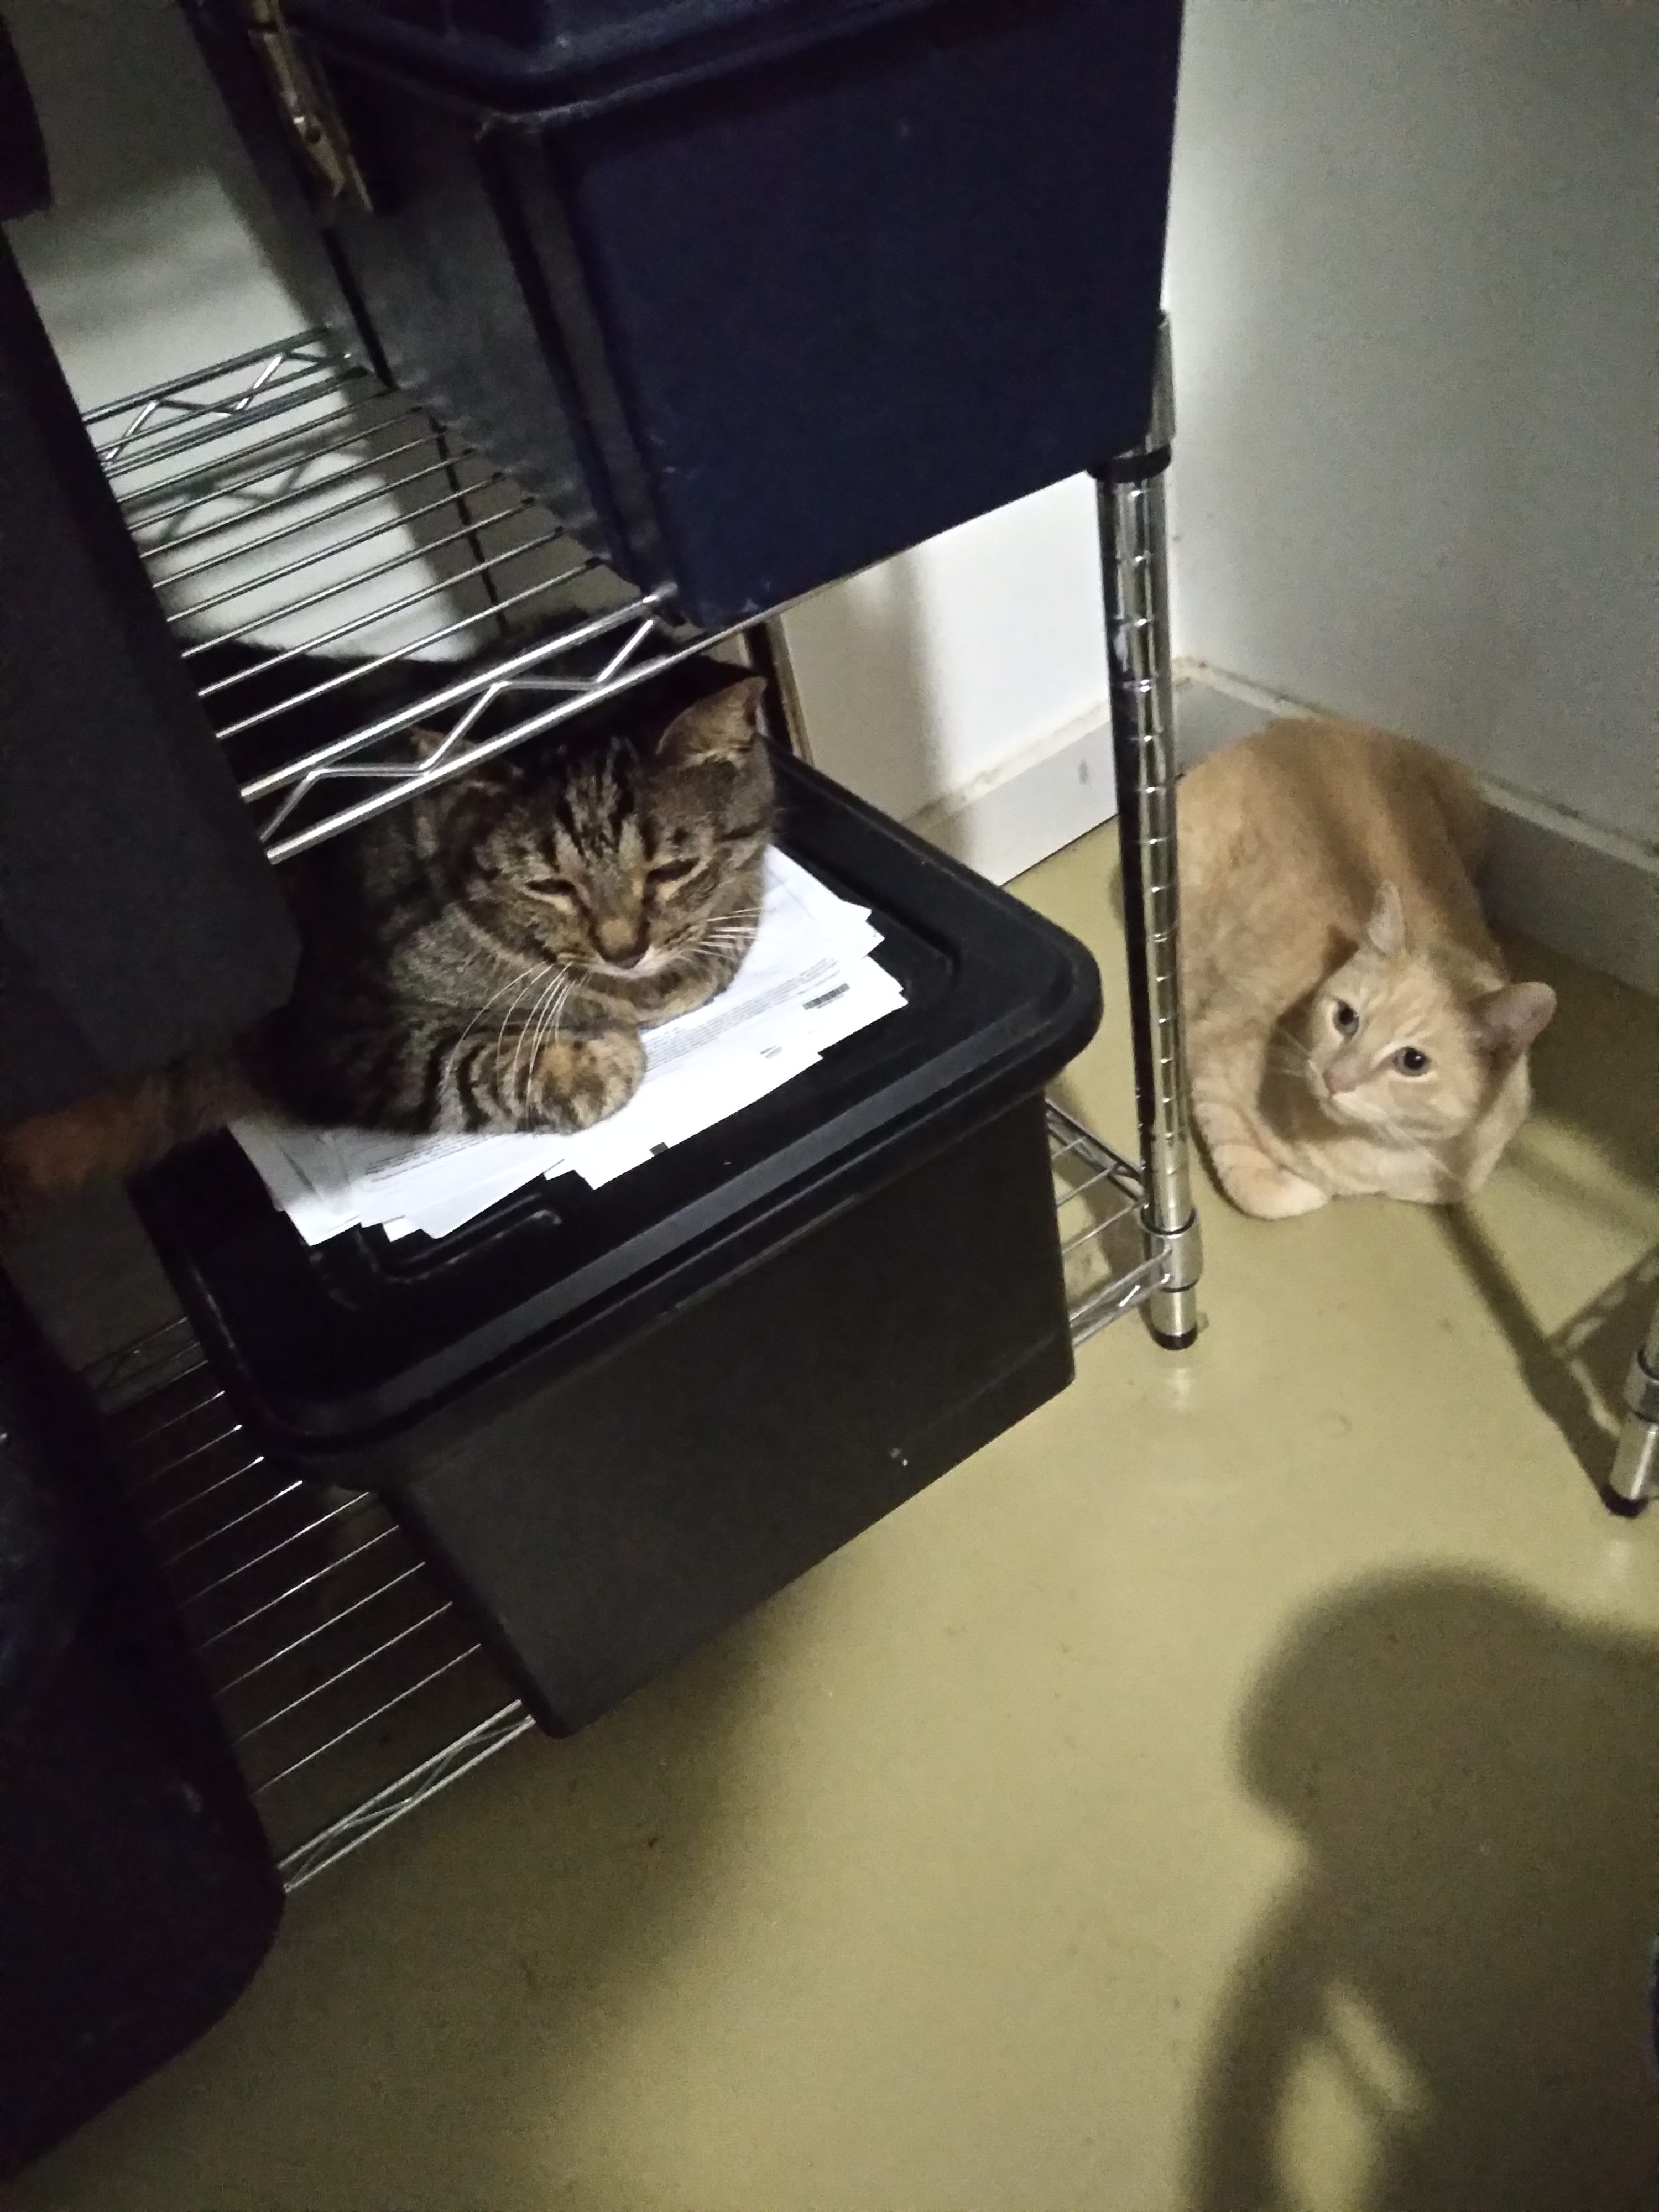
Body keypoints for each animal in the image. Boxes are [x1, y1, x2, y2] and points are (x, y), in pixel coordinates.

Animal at [0, 672, 779, 1212]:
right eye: (551, 885)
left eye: (672, 870)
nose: (624, 950)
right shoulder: (336, 1042)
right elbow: (467, 1065)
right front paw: (594, 1056)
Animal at [1186, 717, 1557, 1221]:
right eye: (1346, 1018)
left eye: (1413, 1062)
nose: (1335, 1078)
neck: (1382, 1158)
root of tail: (1288, 725)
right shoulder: (1210, 1063)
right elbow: (1264, 1192)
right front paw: (1300, 1185)